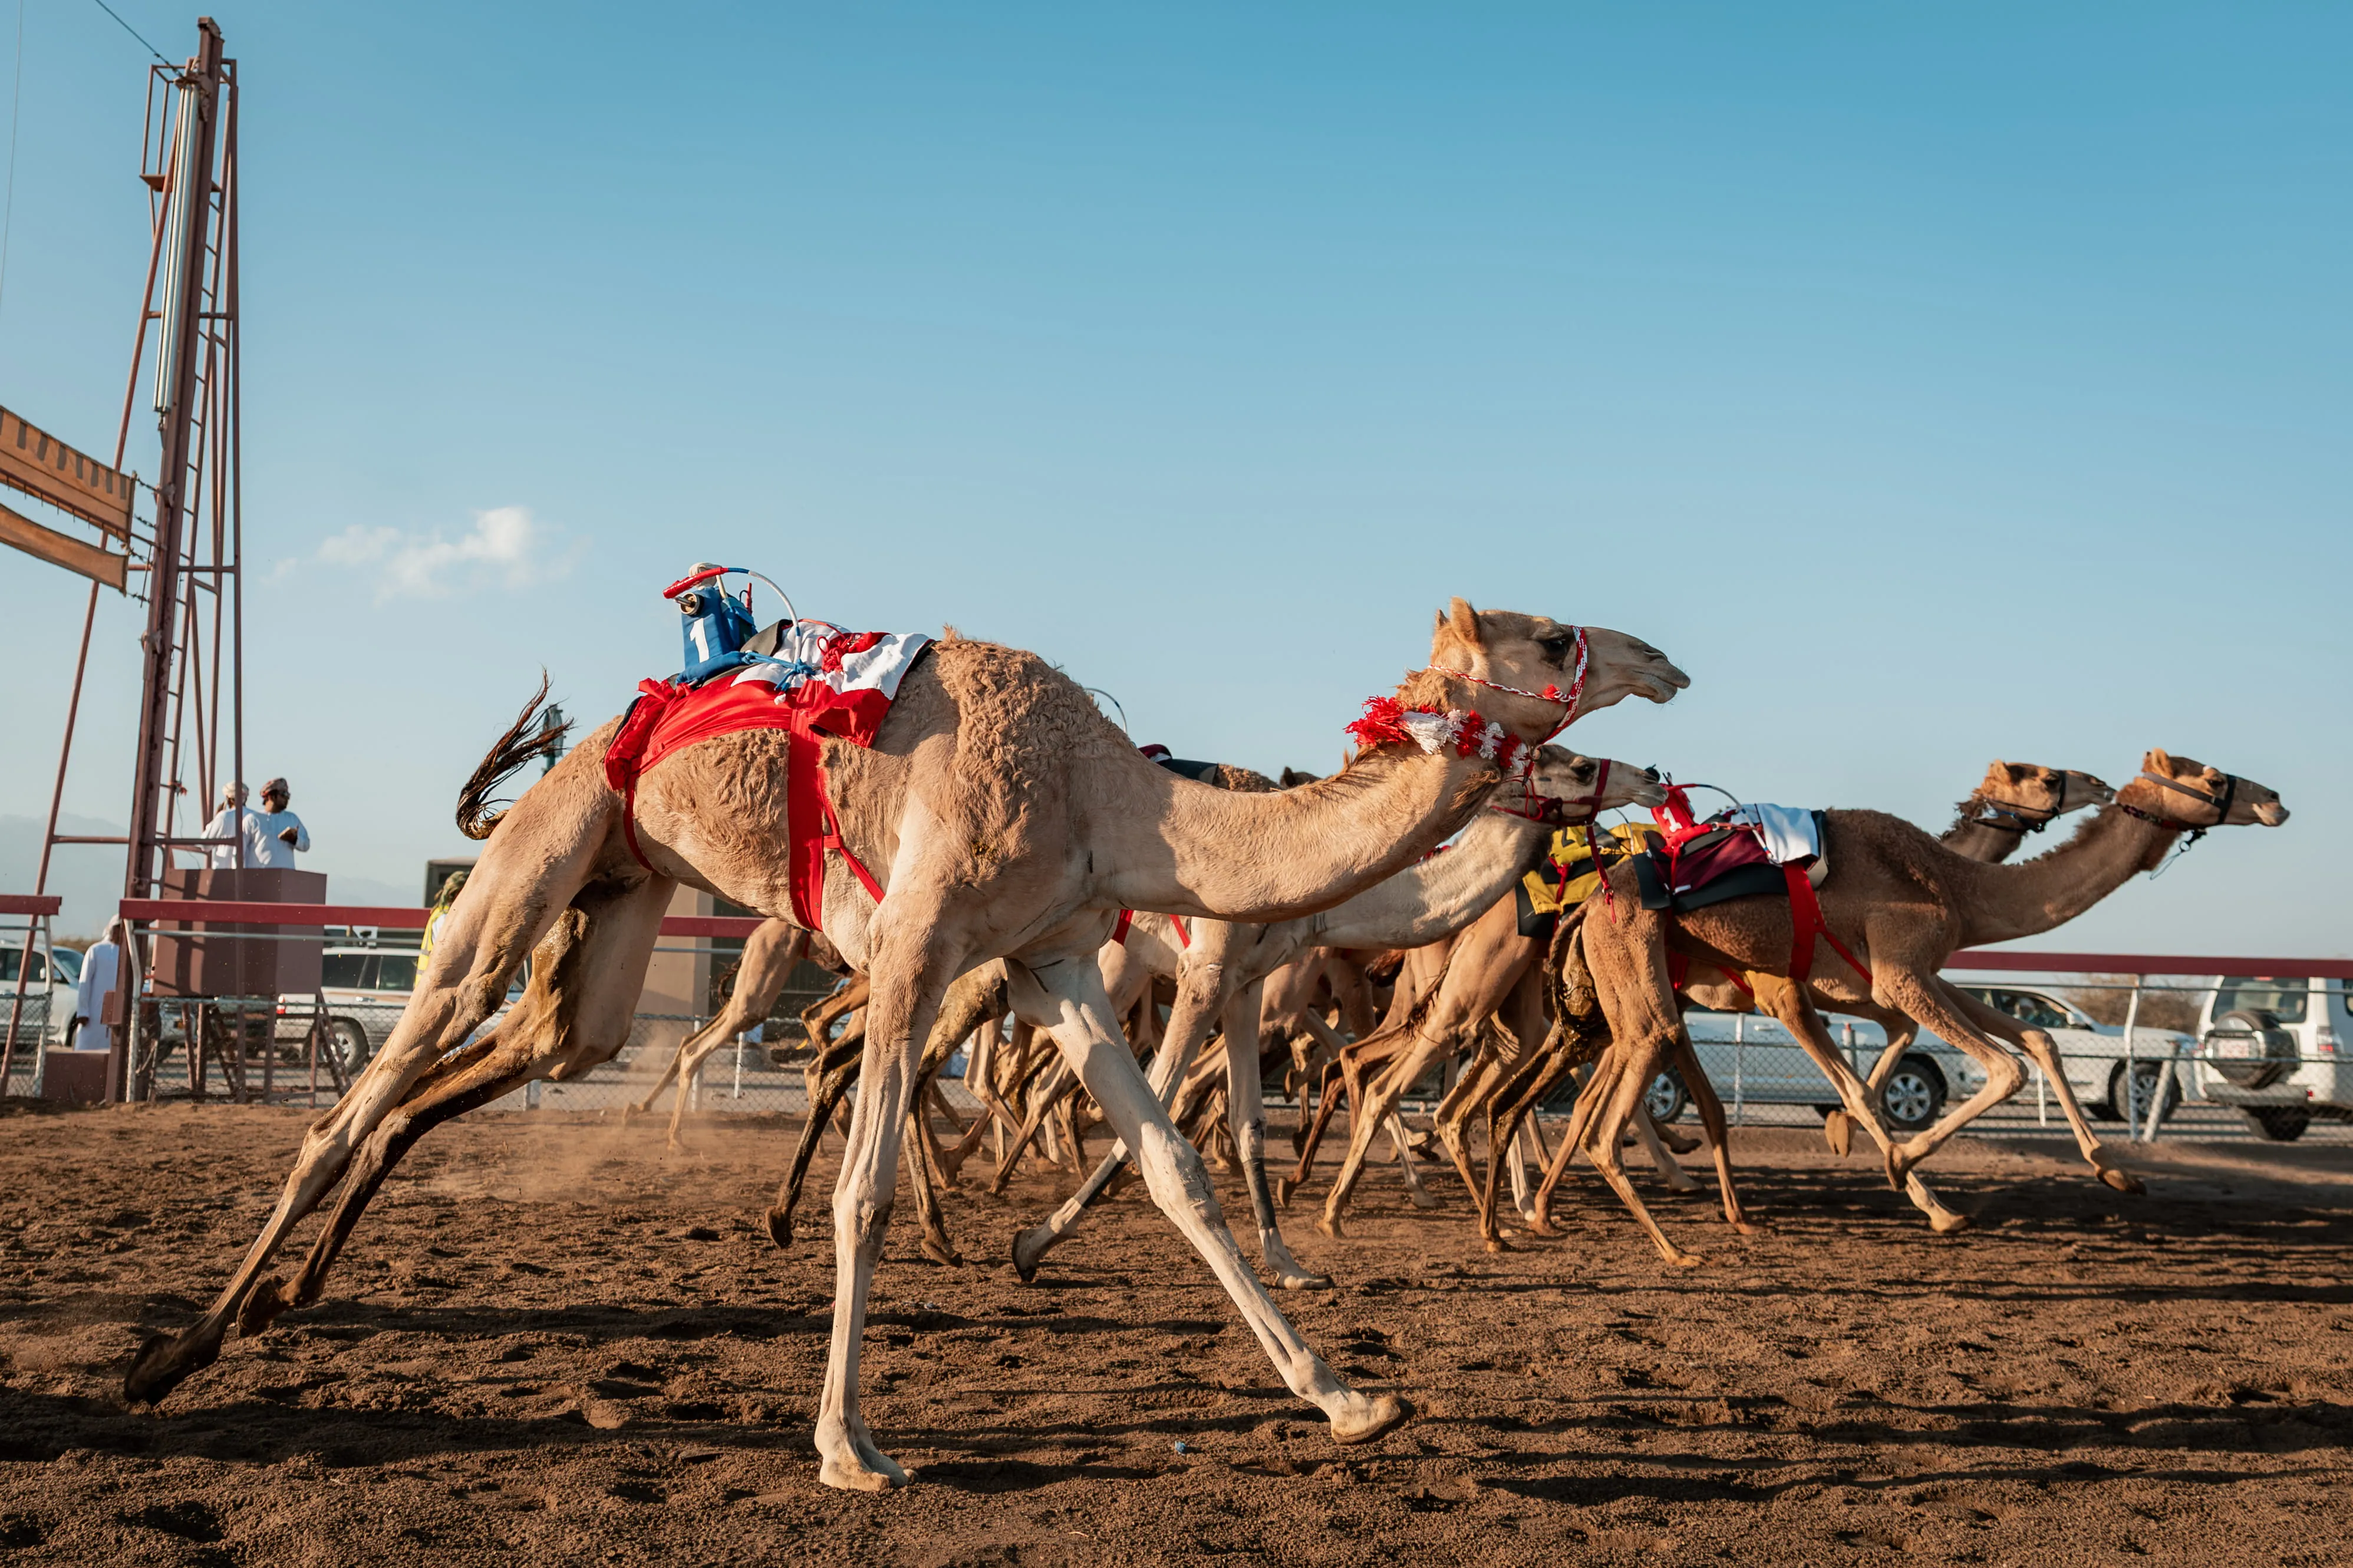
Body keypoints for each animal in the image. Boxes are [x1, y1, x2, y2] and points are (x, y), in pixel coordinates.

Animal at [1008, 749, 1666, 1287]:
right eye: (1580, 765)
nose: (1652, 777)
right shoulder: (1206, 974)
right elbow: (1162, 1099)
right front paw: (1034, 1242)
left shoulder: (1246, 983)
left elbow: (1248, 1119)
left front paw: (1289, 1265)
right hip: (1112, 961)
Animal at [1542, 750, 2285, 1265]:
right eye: (2212, 779)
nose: (2274, 799)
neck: (1959, 885)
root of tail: (1589, 904)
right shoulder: (1878, 974)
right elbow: (1992, 1070)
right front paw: (1911, 1178)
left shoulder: (1909, 975)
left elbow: (2029, 1043)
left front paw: (2115, 1170)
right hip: (1636, 984)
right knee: (1606, 1100)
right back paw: (1648, 1236)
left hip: (1616, 999)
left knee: (1592, 1092)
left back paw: (1557, 1208)